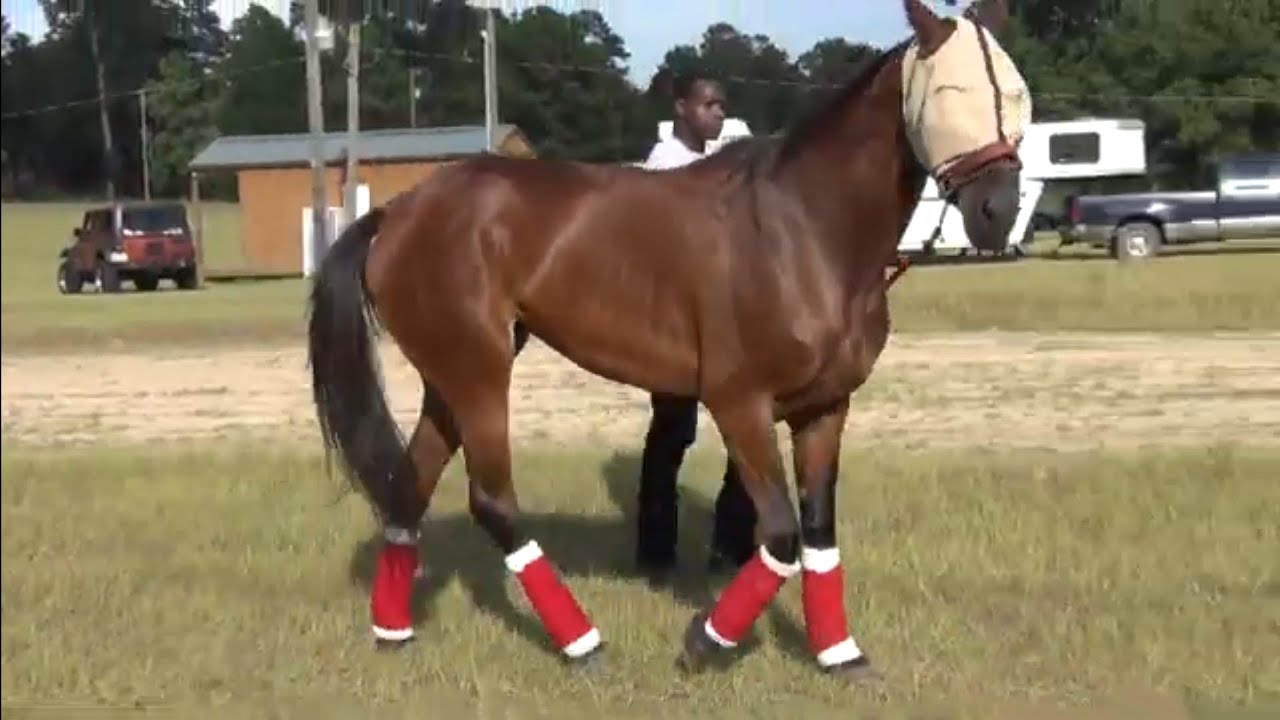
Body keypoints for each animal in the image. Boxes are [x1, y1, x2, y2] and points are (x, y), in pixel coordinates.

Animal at [307, 0, 1029, 680]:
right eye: (951, 91)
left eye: (1018, 93)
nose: (997, 212)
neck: (804, 227)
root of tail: (398, 211)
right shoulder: (740, 403)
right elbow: (781, 536)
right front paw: (705, 642)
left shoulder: (825, 409)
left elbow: (820, 537)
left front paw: (841, 656)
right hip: (480, 371)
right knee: (491, 502)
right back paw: (583, 644)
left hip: (453, 374)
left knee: (410, 486)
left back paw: (394, 631)